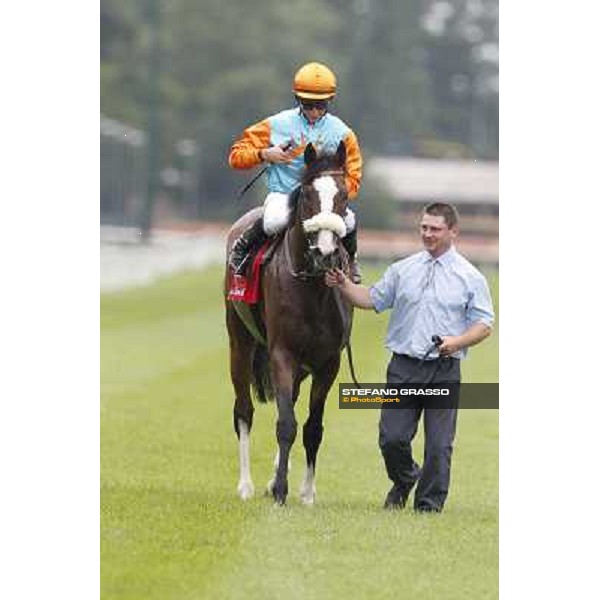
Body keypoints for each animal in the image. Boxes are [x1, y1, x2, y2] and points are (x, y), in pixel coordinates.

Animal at [227, 143, 354, 504]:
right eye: (308, 195)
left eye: (343, 195)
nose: (325, 252)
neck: (312, 287)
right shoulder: (282, 353)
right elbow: (286, 424)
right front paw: (282, 490)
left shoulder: (328, 362)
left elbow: (312, 427)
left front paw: (306, 492)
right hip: (239, 343)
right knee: (243, 410)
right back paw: (246, 486)